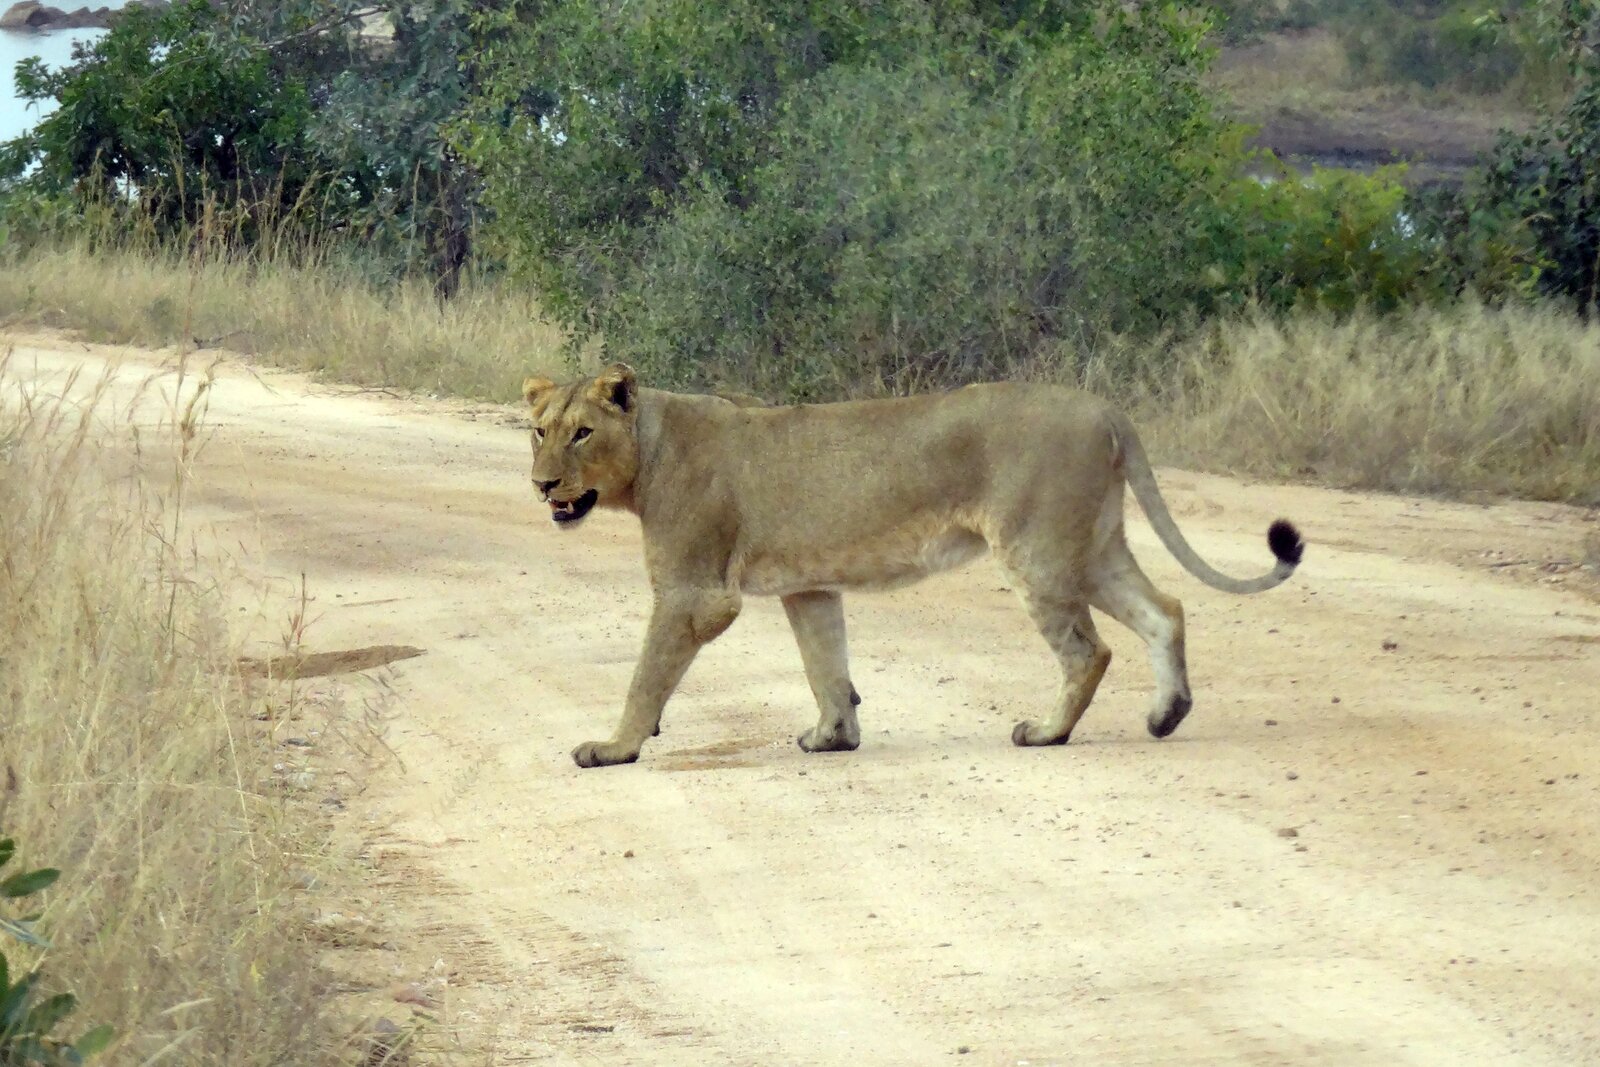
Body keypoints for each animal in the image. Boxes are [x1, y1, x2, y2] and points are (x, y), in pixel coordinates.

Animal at [523, 364, 1304, 769]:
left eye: (582, 433)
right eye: (538, 431)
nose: (541, 484)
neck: (649, 448)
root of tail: (1106, 408)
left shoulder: (695, 592)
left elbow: (646, 674)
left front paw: (614, 746)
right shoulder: (810, 587)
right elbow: (825, 665)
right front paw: (833, 736)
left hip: (1037, 549)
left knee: (1090, 649)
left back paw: (1047, 732)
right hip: (1091, 545)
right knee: (1163, 609)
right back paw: (1168, 714)